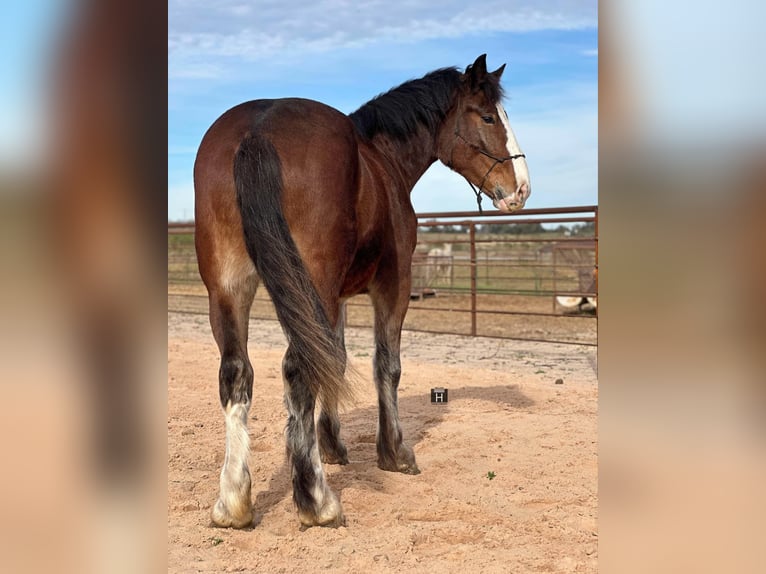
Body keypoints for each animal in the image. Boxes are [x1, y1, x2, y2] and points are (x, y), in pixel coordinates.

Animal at [194, 54, 528, 532]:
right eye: (487, 116)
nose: (521, 189)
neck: (381, 160)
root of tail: (258, 130)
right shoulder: (393, 284)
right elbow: (385, 364)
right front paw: (394, 453)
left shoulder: (333, 299)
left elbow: (334, 359)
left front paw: (332, 446)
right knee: (296, 370)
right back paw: (317, 502)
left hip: (229, 288)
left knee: (237, 373)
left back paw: (234, 503)